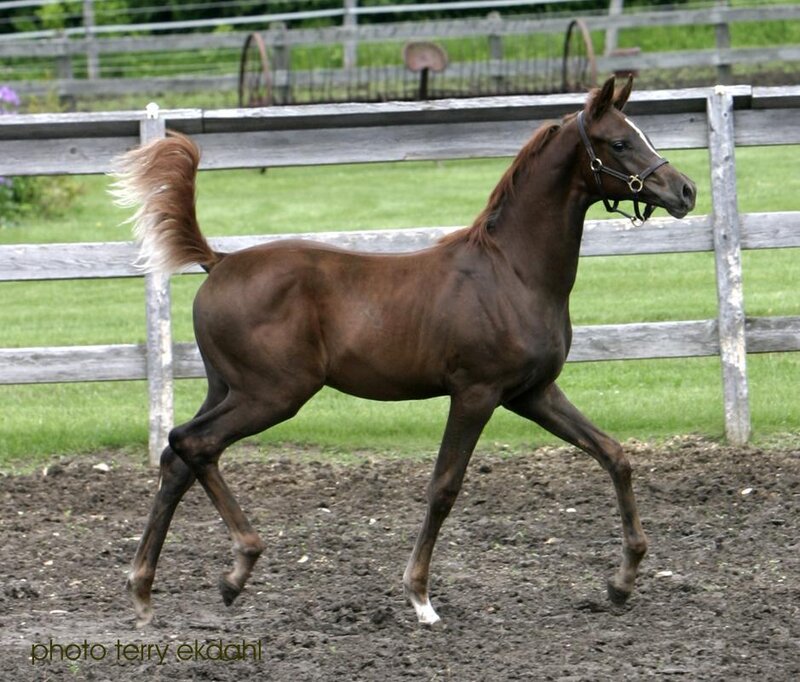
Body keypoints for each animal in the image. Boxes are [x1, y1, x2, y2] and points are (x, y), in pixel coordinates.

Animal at [111, 77, 696, 628]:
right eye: (620, 142)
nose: (686, 191)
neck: (513, 272)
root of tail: (219, 261)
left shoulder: (532, 393)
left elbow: (613, 454)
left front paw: (621, 583)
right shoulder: (477, 393)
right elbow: (444, 487)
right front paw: (420, 598)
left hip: (226, 388)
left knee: (179, 457)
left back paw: (145, 591)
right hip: (272, 394)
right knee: (192, 442)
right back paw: (237, 567)